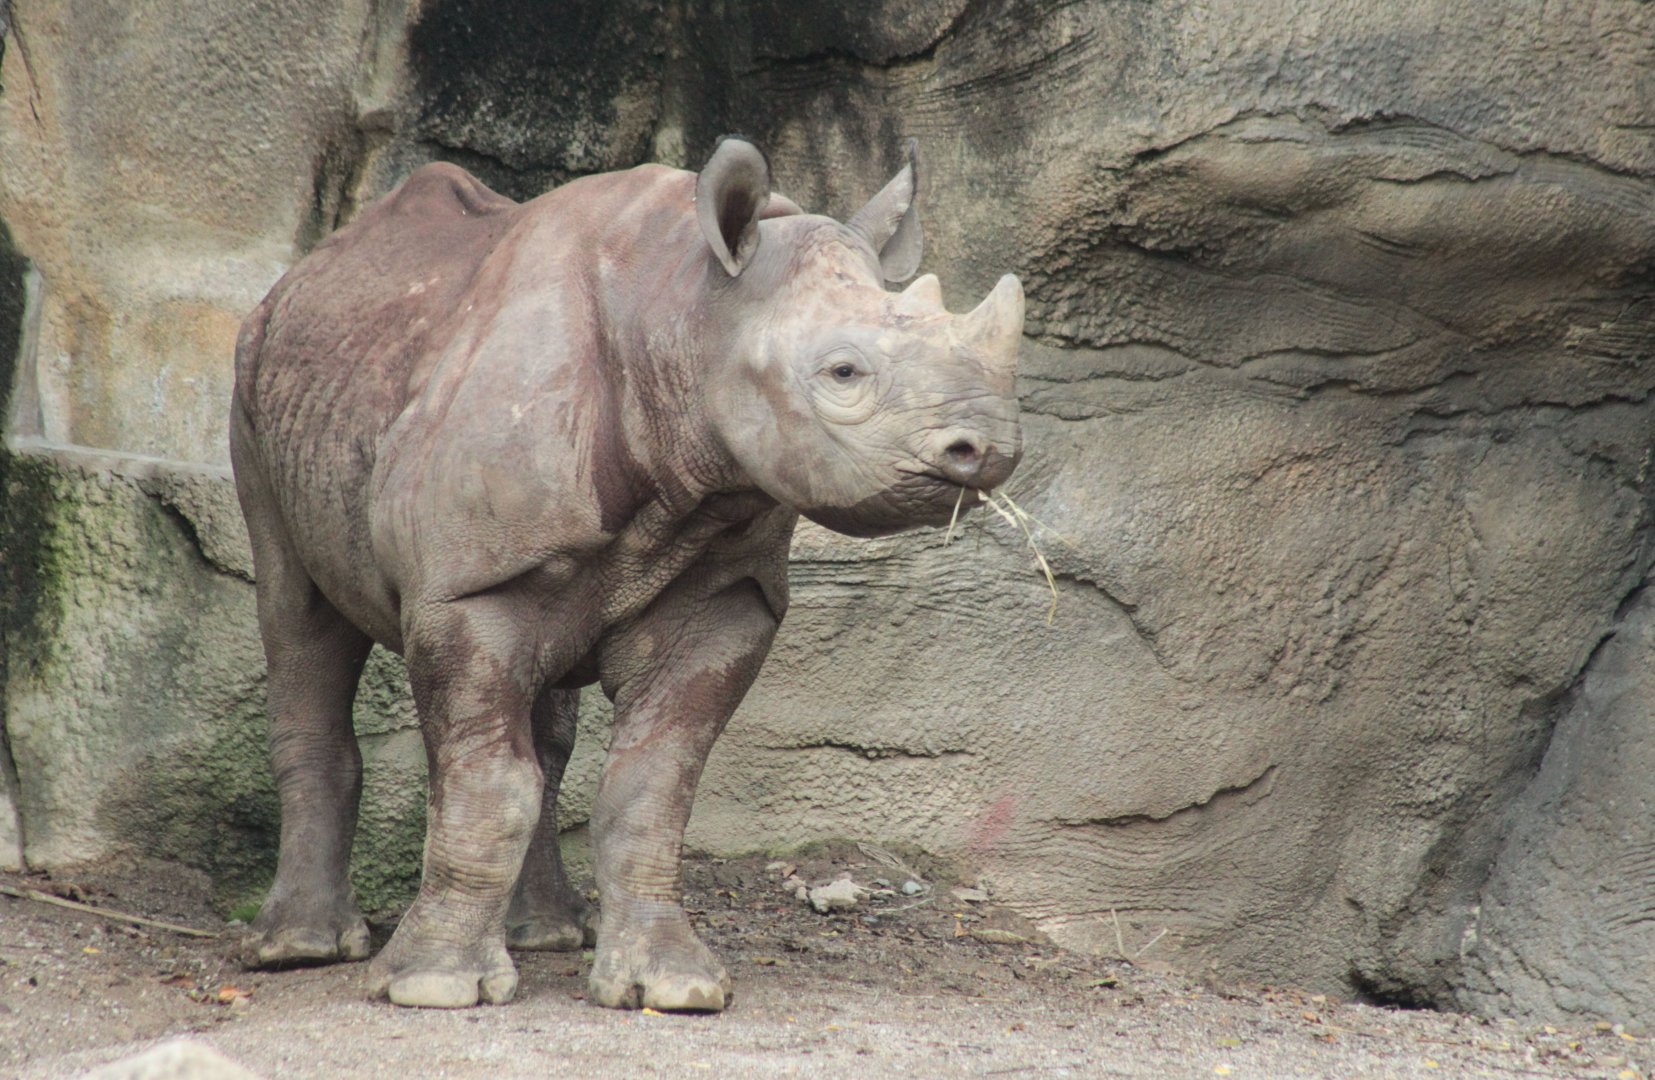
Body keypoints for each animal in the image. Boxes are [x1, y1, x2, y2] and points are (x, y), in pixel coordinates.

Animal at [230, 137, 1023, 1011]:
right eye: (843, 374)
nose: (988, 445)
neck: (688, 311)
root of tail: (310, 268)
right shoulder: (469, 586)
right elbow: (486, 783)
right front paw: (434, 988)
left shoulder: (727, 589)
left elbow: (652, 789)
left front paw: (669, 986)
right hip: (254, 385)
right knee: (297, 615)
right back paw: (298, 948)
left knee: (545, 719)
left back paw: (545, 933)